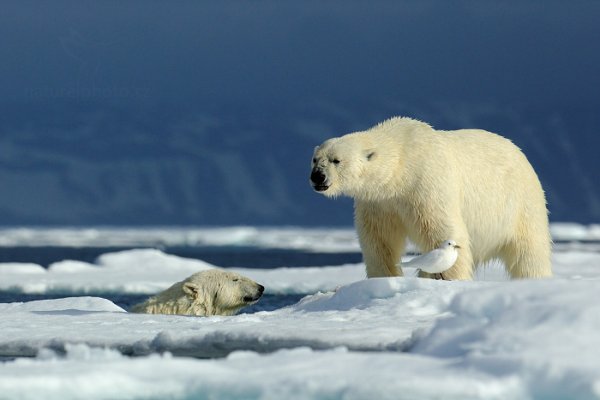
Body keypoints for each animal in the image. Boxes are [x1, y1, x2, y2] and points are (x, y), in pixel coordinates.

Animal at [312, 115, 552, 280]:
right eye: (315, 159)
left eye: (336, 160)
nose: (317, 176)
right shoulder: (379, 203)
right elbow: (380, 240)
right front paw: (384, 277)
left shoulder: (426, 185)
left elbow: (442, 233)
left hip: (521, 204)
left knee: (529, 252)